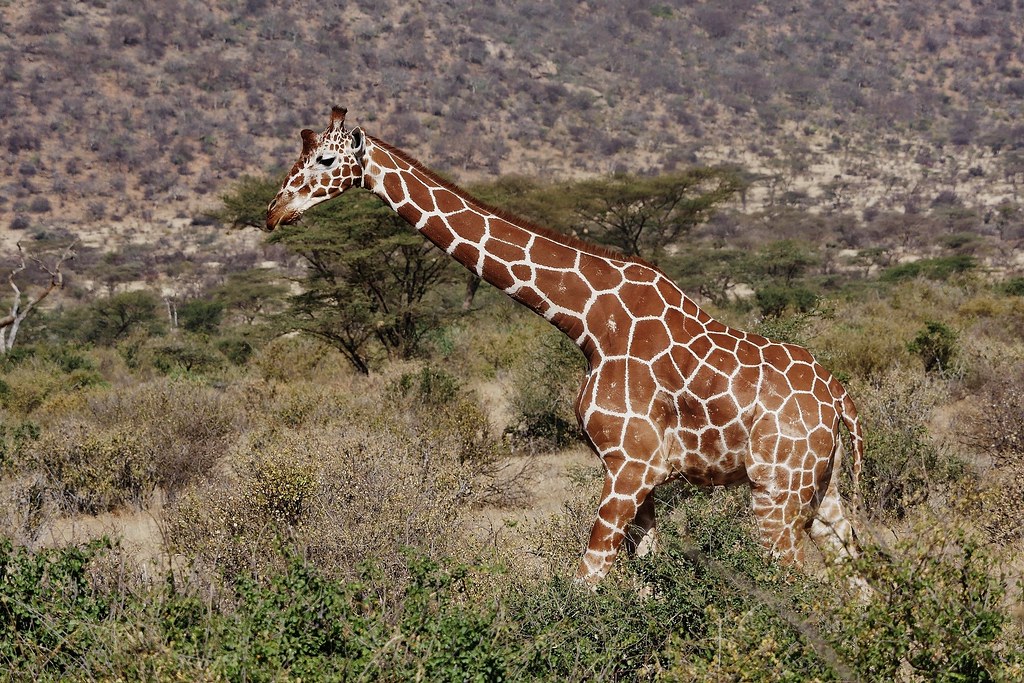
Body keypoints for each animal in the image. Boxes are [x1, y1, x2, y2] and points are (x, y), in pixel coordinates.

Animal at [265, 107, 865, 585]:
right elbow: (645, 577)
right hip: (824, 493)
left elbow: (586, 579)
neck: (589, 323)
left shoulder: (630, 465)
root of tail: (839, 400)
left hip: (776, 491)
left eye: (325, 160)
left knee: (802, 583)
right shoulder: (637, 476)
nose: (274, 212)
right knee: (859, 581)